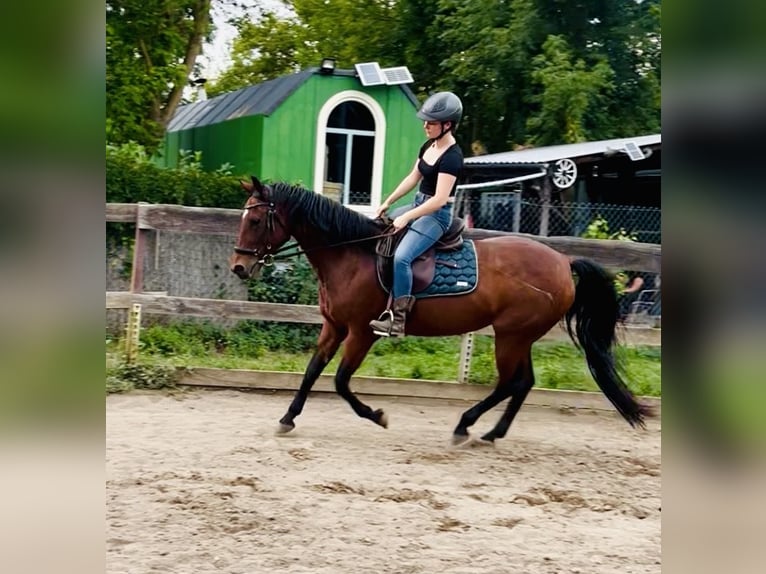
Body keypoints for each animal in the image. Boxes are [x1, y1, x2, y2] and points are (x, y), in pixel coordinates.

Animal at [229, 177, 653, 444]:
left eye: (256, 219)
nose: (239, 267)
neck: (351, 254)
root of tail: (564, 263)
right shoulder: (333, 326)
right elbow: (312, 372)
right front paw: (287, 419)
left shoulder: (362, 332)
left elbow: (340, 382)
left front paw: (377, 415)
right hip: (519, 336)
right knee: (523, 383)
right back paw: (492, 433)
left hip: (511, 335)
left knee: (509, 383)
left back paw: (466, 426)